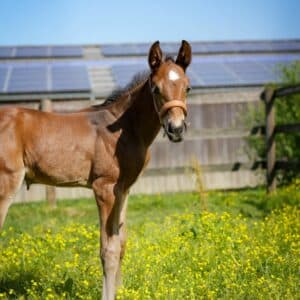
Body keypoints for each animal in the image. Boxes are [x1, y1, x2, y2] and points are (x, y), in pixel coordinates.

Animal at [0, 40, 192, 300]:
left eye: (187, 88)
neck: (126, 129)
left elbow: (121, 242)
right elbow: (108, 249)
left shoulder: (123, 190)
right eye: (156, 89)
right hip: (6, 184)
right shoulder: (104, 188)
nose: (176, 129)